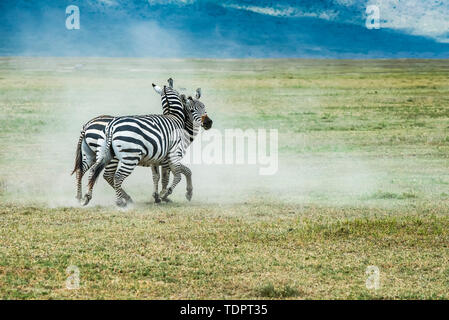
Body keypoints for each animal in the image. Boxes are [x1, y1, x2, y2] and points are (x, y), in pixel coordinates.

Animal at [82, 83, 212, 208]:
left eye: (204, 107)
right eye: (192, 110)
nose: (208, 123)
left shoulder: (156, 160)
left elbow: (159, 176)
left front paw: (158, 196)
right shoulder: (170, 157)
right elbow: (173, 175)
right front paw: (166, 194)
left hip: (100, 155)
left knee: (93, 171)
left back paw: (87, 197)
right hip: (126, 157)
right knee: (114, 176)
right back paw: (121, 201)